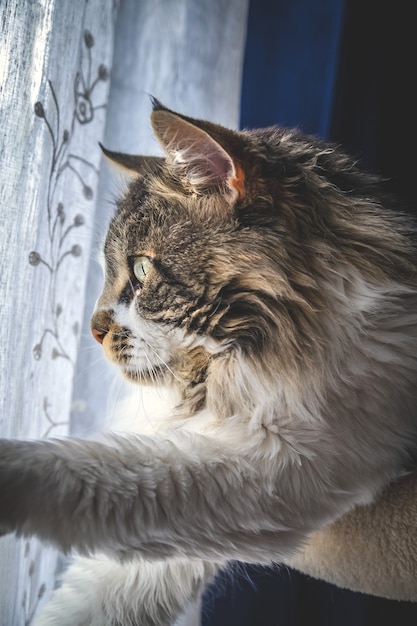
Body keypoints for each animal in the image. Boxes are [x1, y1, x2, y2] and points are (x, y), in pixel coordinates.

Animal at [0, 96, 416, 620]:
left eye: (140, 270)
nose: (92, 331)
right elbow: (88, 596)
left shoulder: (287, 461)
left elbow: (93, 473)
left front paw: (13, 472)